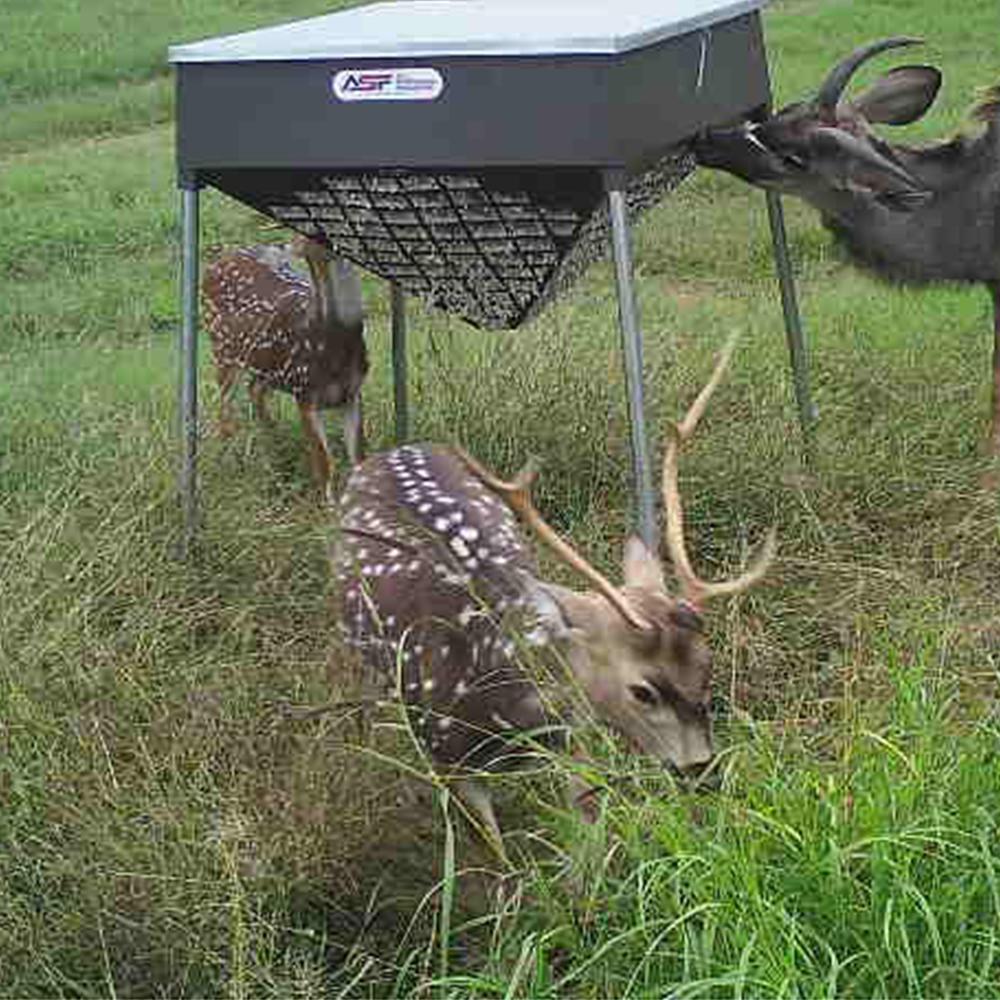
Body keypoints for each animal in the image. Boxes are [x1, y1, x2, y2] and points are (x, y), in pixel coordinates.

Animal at [202, 233, 368, 502]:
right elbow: (324, 462)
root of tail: (218, 259)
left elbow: (358, 457)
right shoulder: (304, 394)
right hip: (223, 352)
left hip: (264, 367)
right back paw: (231, 462)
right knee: (225, 414)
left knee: (254, 389)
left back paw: (276, 445)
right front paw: (329, 505)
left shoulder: (352, 393)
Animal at [333, 335, 775, 856]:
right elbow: (498, 859)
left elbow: (587, 845)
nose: (703, 773)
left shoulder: (573, 732)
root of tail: (390, 450)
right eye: (642, 691)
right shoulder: (445, 754)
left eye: (708, 668)